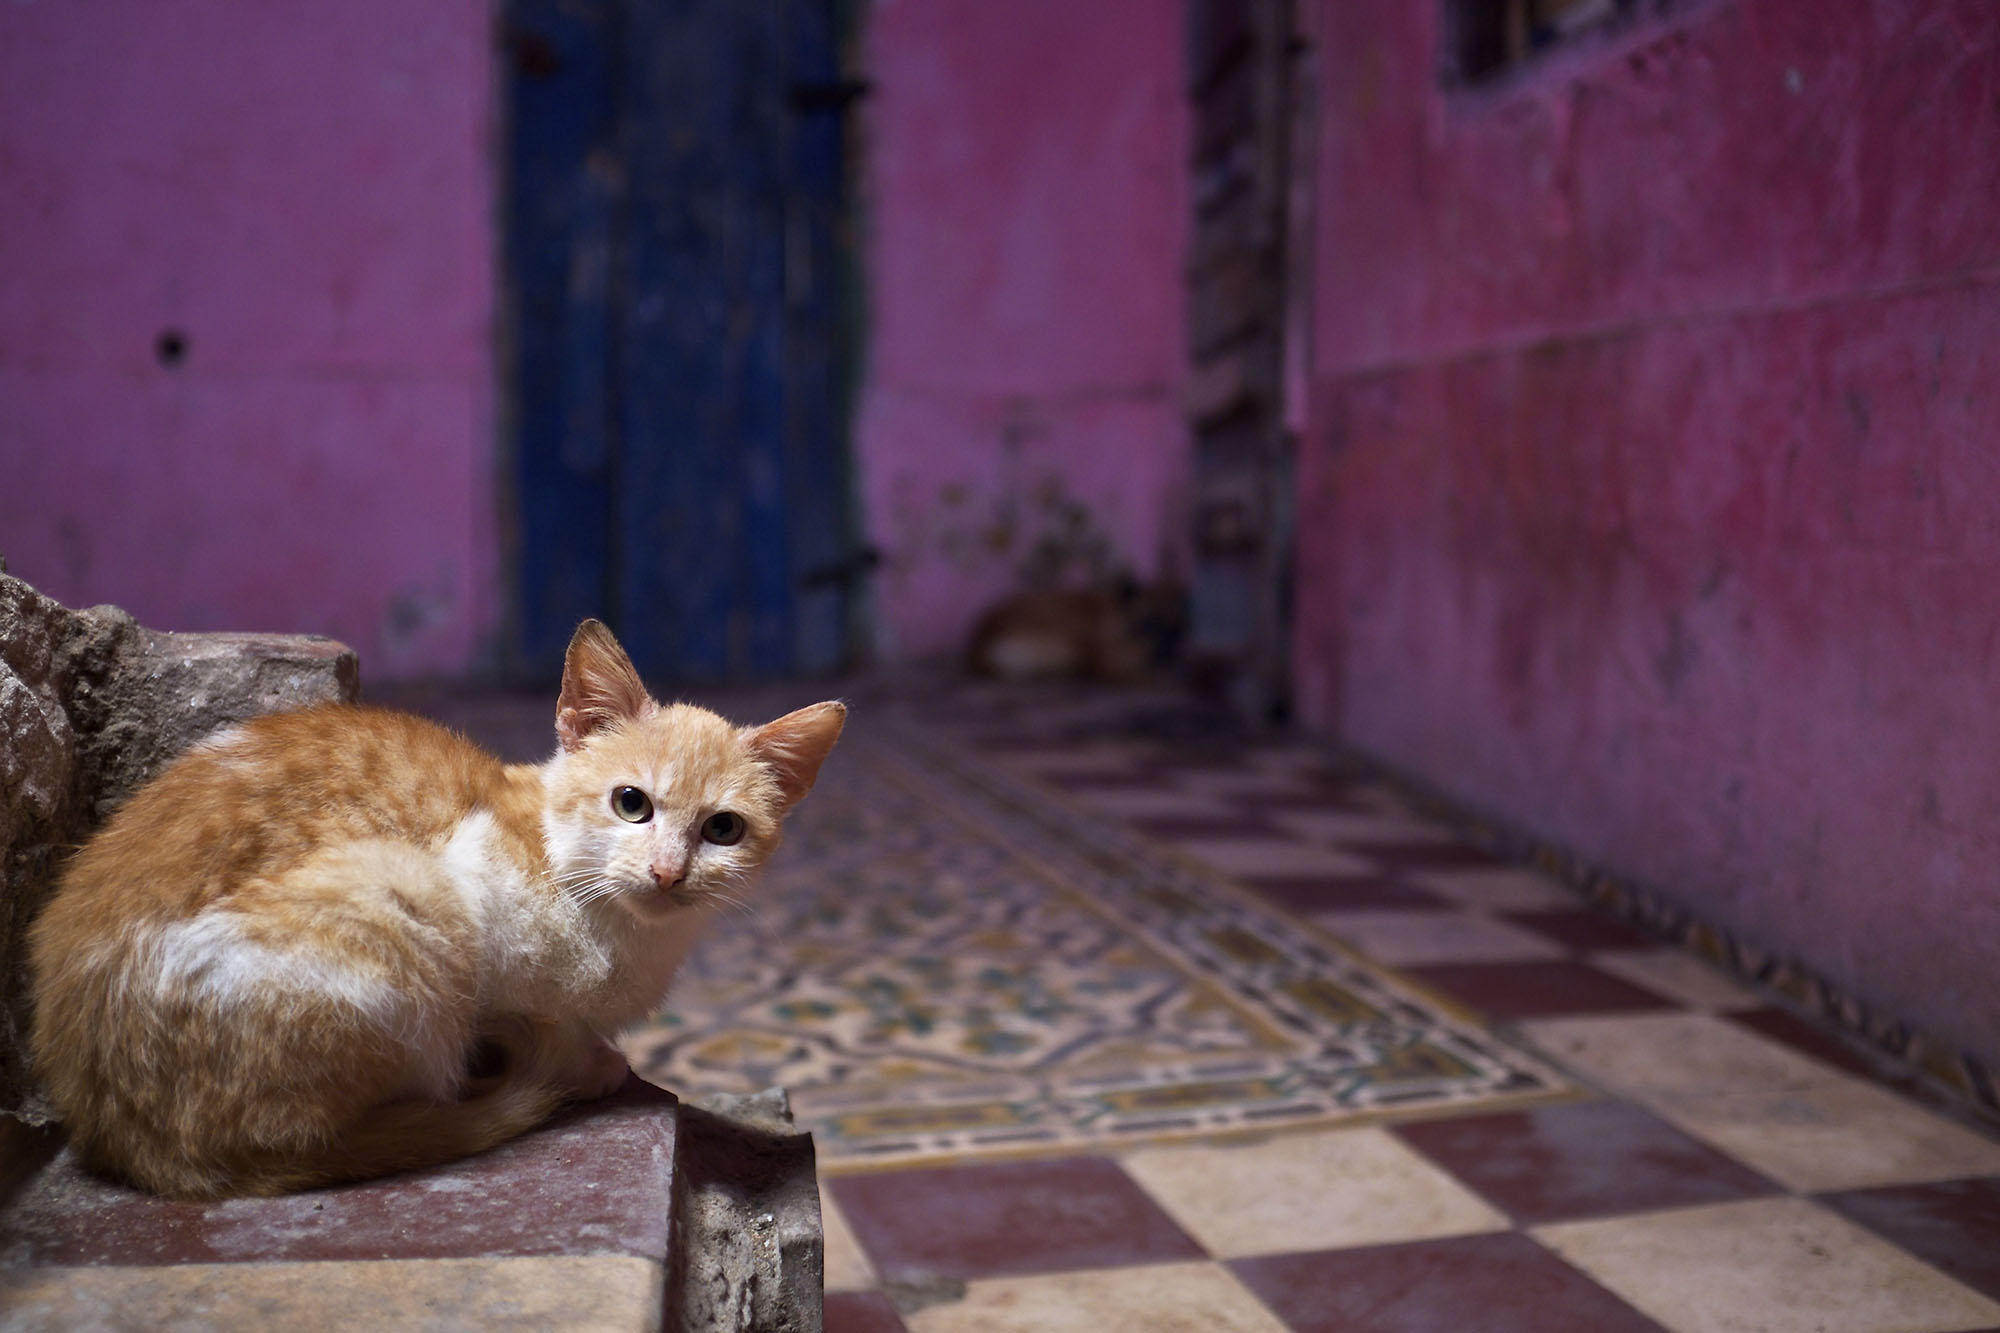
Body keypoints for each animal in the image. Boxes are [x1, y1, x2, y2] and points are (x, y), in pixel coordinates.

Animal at [31, 620, 844, 1192]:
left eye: (723, 829)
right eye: (631, 802)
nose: (669, 872)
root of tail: (131, 1138)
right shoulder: (473, 885)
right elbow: (544, 1017)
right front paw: (583, 1059)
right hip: (405, 903)